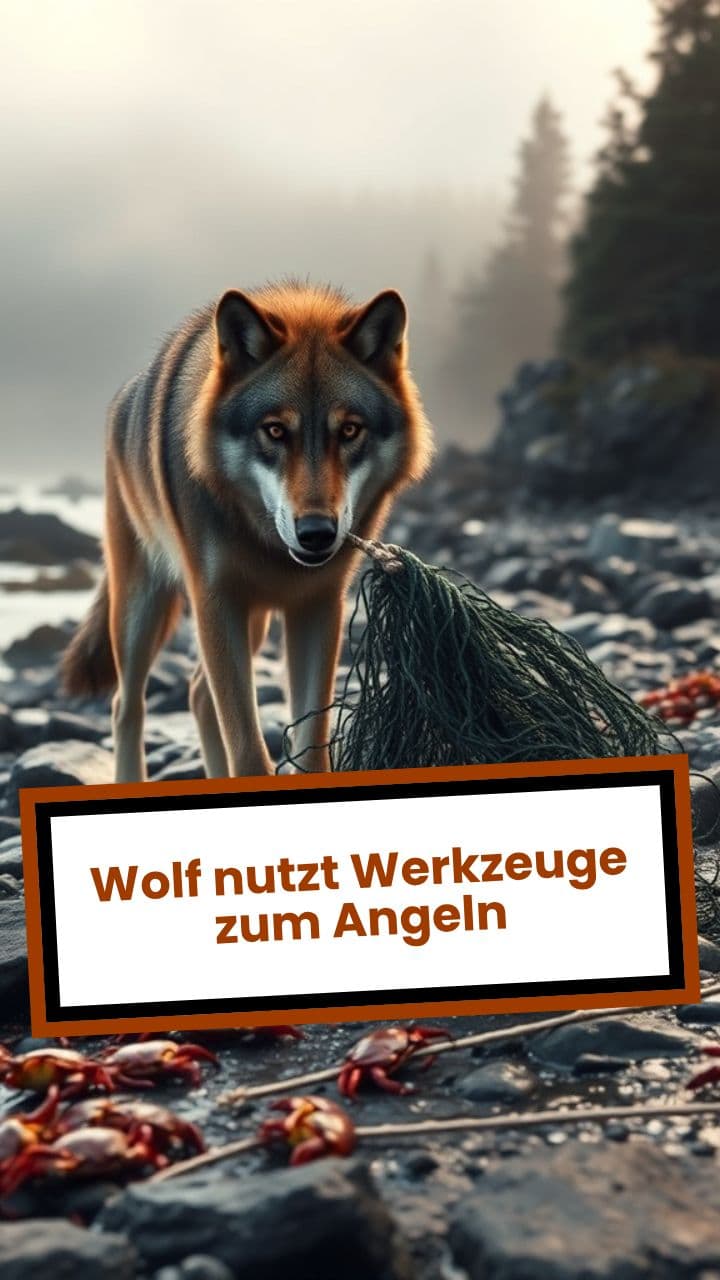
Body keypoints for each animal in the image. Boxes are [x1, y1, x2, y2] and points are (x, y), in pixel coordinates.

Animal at [61, 281, 433, 781]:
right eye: (274, 431)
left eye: (350, 430)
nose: (317, 532)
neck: (269, 546)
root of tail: (127, 392)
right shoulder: (215, 601)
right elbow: (249, 752)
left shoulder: (318, 606)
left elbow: (311, 748)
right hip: (142, 606)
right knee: (127, 703)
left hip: (250, 624)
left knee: (198, 692)